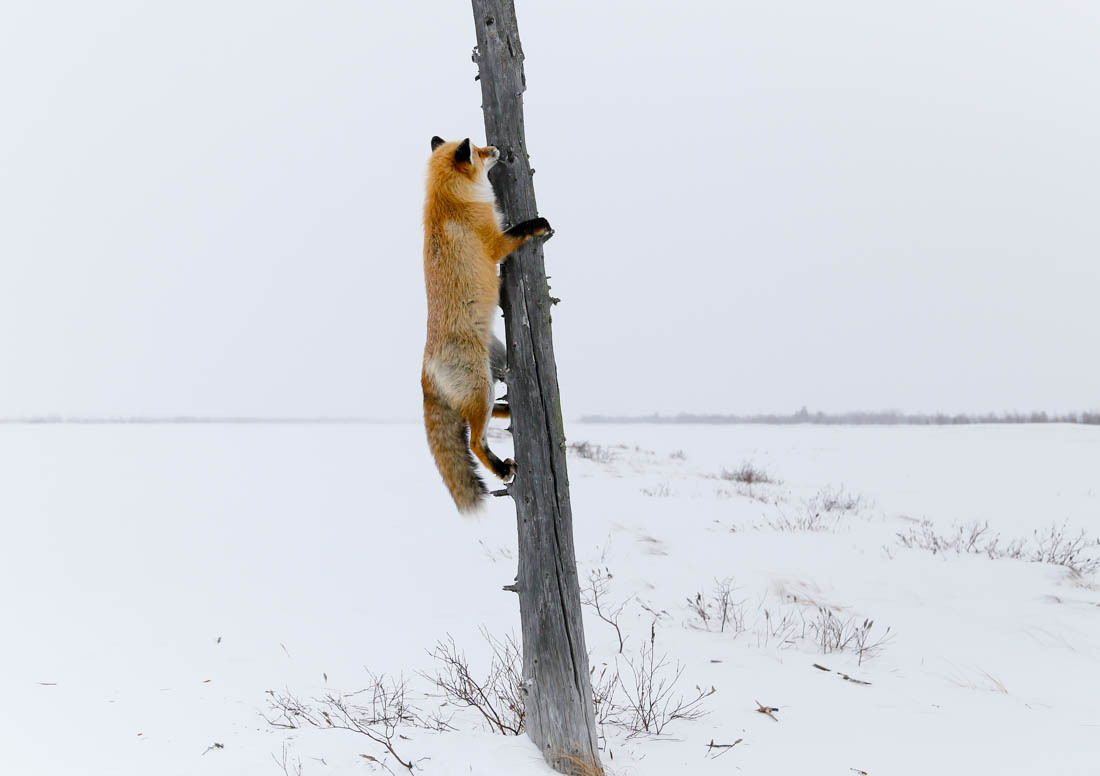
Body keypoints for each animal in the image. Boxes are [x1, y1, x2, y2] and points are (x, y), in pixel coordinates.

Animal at [424, 136, 554, 510]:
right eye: (480, 152)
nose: (495, 147)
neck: (451, 202)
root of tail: (426, 365)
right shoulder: (495, 243)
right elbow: (517, 231)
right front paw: (537, 224)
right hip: (480, 386)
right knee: (474, 441)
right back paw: (500, 468)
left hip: (495, 368)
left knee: (484, 415)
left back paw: (509, 412)